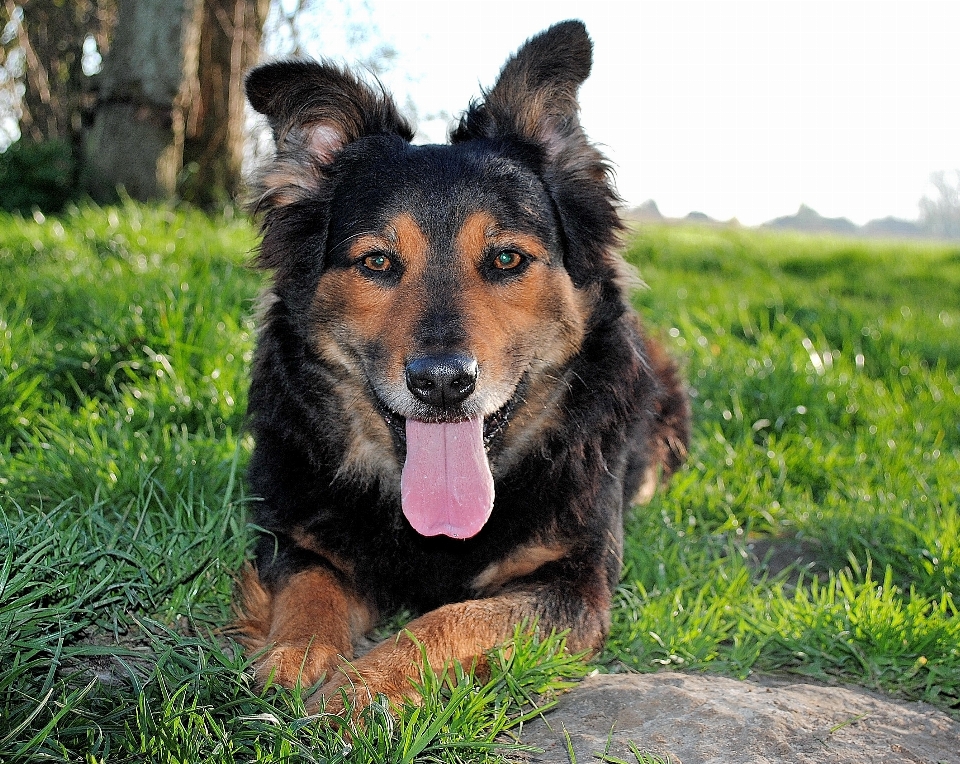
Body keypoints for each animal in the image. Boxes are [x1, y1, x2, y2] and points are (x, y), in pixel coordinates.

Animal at [235, 19, 688, 712]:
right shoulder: (297, 536)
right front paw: (296, 657)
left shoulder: (575, 585)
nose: (443, 382)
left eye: (505, 259)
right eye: (377, 262)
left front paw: (363, 687)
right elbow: (311, 585)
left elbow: (451, 620)